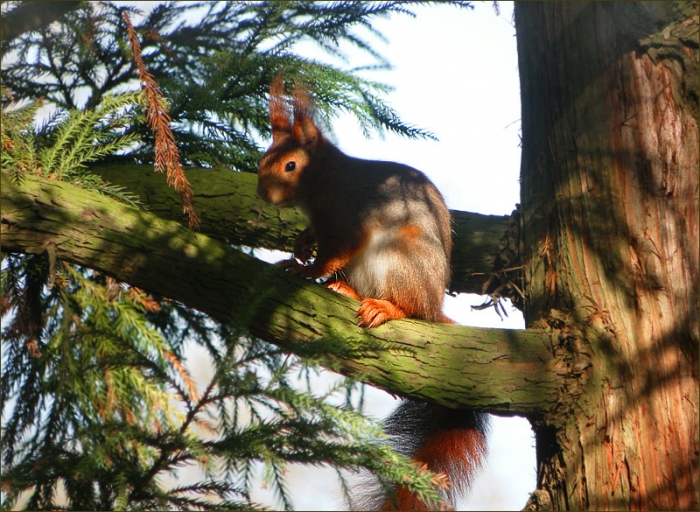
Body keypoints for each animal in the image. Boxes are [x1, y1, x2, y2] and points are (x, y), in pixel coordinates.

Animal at [257, 74, 489, 511]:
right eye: (264, 159)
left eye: (291, 165)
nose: (262, 195)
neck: (325, 181)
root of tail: (434, 304)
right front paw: (301, 244)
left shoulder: (348, 221)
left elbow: (334, 252)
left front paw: (305, 268)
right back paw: (346, 290)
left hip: (400, 259)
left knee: (412, 310)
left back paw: (386, 308)